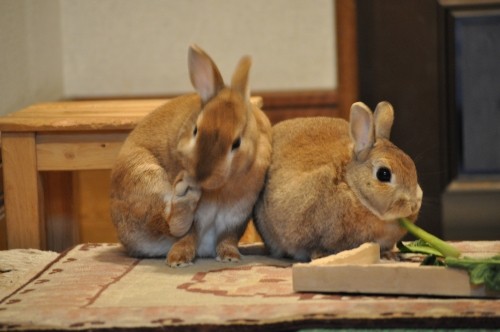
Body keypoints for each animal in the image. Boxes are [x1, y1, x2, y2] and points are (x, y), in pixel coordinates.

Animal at [111, 44, 272, 268]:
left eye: (236, 143)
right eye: (196, 130)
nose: (200, 175)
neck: (221, 189)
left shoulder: (236, 217)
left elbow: (227, 239)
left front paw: (230, 257)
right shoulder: (201, 219)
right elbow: (187, 236)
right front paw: (178, 260)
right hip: (145, 178)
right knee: (167, 223)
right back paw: (185, 201)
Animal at [254, 101, 422, 262]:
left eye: (411, 165)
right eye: (383, 174)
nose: (412, 206)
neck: (351, 186)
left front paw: (389, 255)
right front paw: (321, 255)